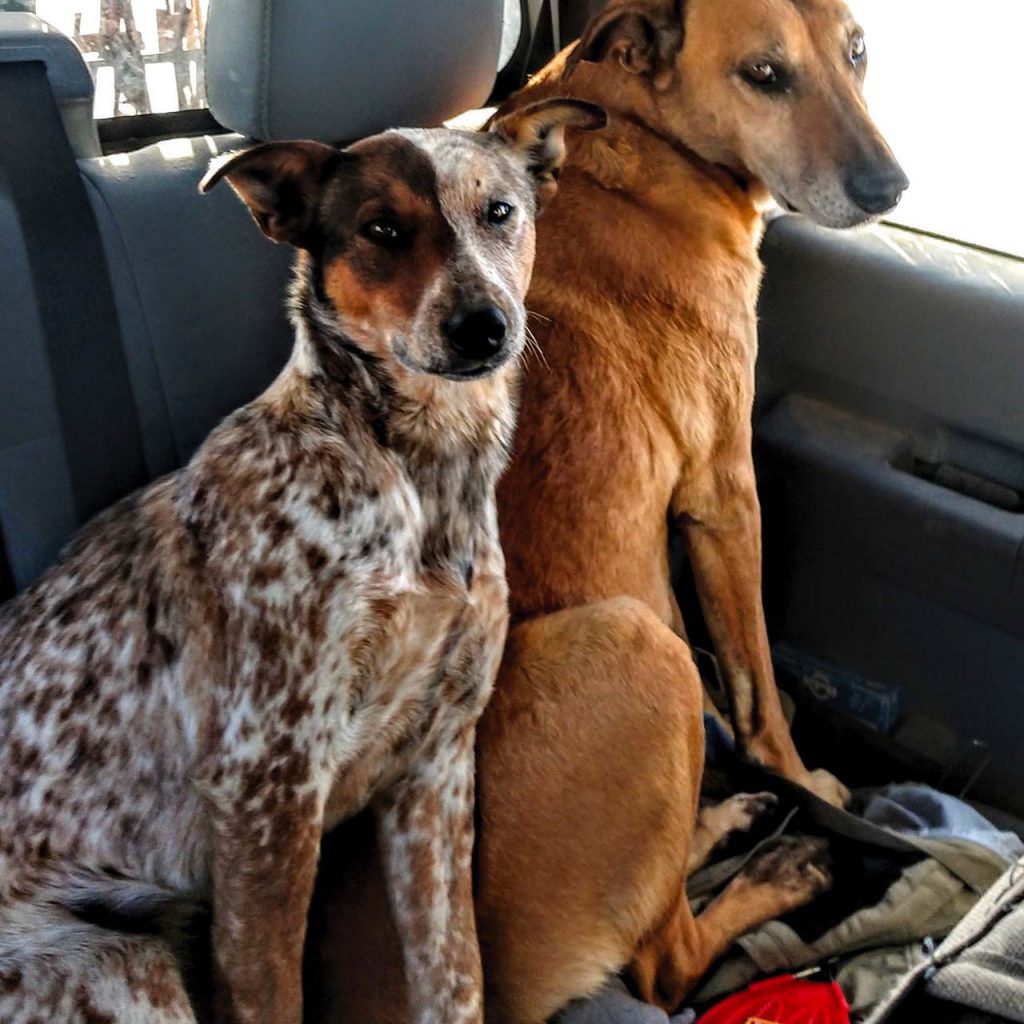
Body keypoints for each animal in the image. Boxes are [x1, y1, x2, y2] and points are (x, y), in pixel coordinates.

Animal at [0, 97, 602, 1024]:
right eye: (381, 228)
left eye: (499, 212)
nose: (482, 326)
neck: (419, 473)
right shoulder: (267, 789)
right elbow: (270, 991)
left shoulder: (437, 764)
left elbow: (455, 972)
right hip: (120, 967)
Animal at [309, 0, 905, 1019]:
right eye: (764, 74)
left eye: (857, 51)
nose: (890, 187)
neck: (644, 131)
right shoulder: (724, 491)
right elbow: (759, 687)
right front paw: (799, 780)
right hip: (638, 646)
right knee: (668, 958)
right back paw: (783, 868)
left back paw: (722, 818)